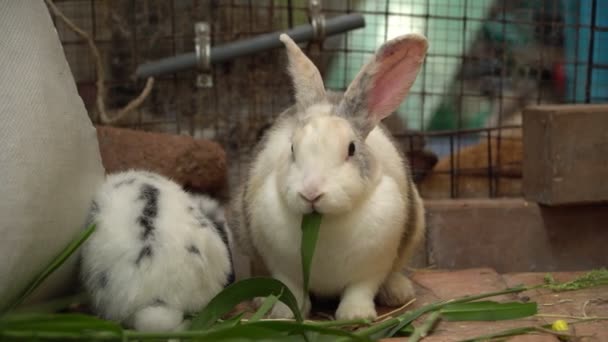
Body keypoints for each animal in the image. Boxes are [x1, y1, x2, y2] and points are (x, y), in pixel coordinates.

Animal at [226, 32, 430, 320]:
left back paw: (398, 292)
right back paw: (260, 299)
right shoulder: (282, 267)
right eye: (292, 148)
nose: (311, 193)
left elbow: (360, 290)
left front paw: (356, 316)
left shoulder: (371, 269)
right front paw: (284, 313)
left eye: (351, 149)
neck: (324, 223)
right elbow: (291, 289)